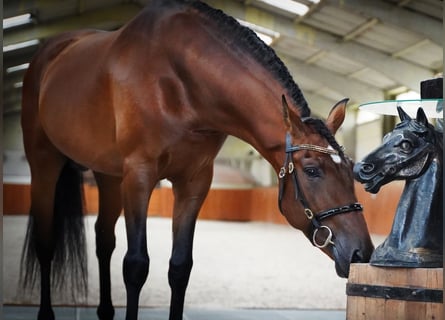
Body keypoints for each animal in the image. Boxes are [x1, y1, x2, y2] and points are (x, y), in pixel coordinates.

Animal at [20, 0, 372, 320]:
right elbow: (136, 265)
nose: (361, 252)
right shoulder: (139, 175)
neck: (179, 81)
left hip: (108, 176)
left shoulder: (194, 181)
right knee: (46, 240)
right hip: (45, 163)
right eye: (312, 170)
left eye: (350, 171)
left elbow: (180, 267)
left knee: (104, 239)